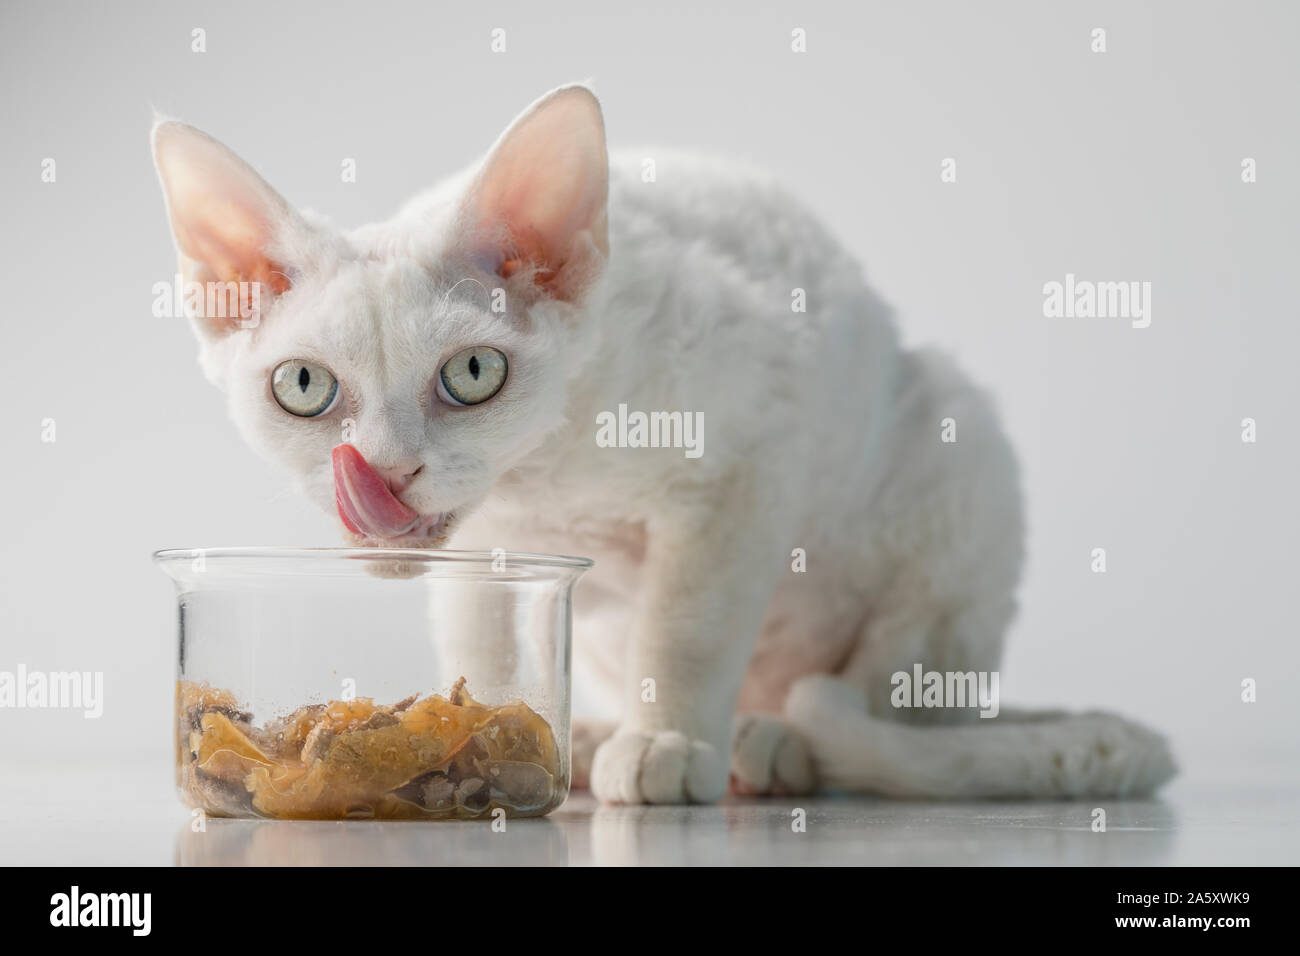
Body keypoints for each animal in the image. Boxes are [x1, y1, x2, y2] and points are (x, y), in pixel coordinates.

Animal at [152, 82, 1180, 806]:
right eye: (305, 388)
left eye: (474, 373)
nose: (386, 471)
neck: (543, 477)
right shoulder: (489, 552)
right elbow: (485, 641)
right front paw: (487, 732)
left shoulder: (749, 456)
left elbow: (686, 630)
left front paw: (669, 740)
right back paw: (596, 741)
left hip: (957, 467)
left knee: (884, 688)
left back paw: (765, 744)